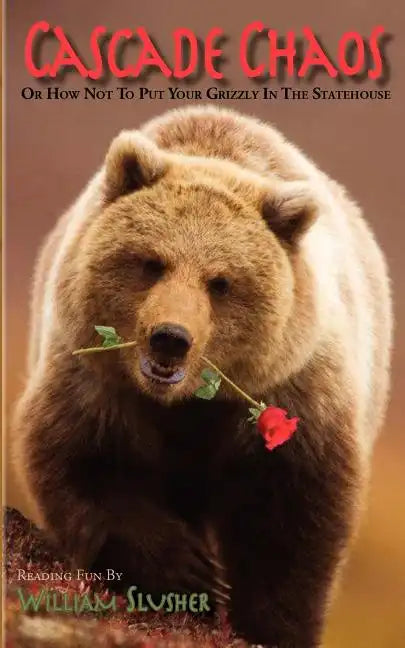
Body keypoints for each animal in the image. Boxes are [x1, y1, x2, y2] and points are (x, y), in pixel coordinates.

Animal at [12, 106, 392, 646]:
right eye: (152, 262)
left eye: (221, 282)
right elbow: (84, 462)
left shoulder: (292, 390)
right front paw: (188, 570)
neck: (187, 403)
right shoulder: (94, 377)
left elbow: (291, 521)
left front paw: (268, 622)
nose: (170, 337)